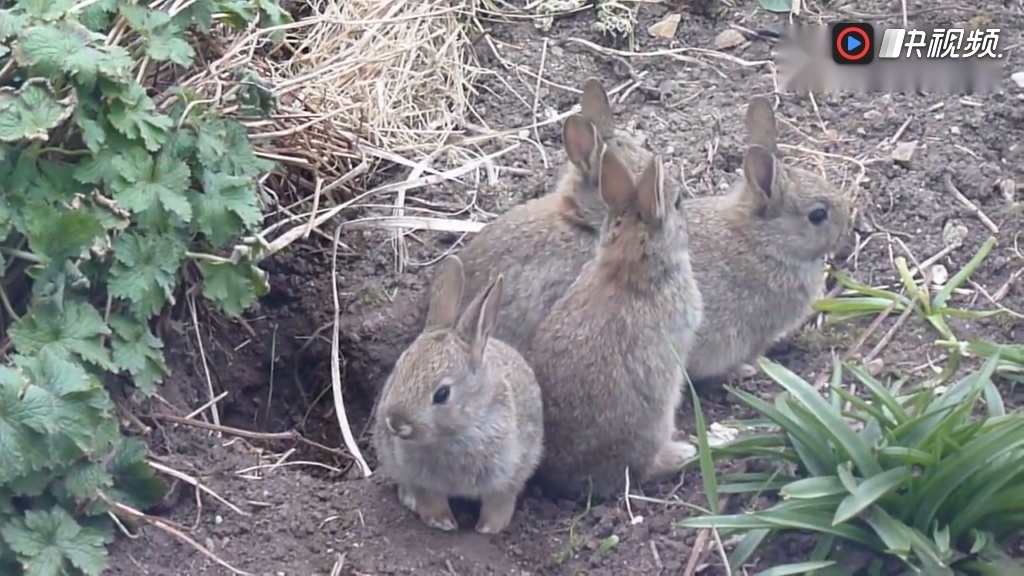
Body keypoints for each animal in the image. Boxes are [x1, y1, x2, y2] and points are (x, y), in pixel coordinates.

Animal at [368, 255, 544, 532]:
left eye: (442, 394)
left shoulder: (511, 470)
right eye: (398, 370)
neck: (457, 433)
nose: (396, 423)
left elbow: (500, 500)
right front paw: (442, 522)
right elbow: (430, 497)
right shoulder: (419, 477)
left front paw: (489, 527)